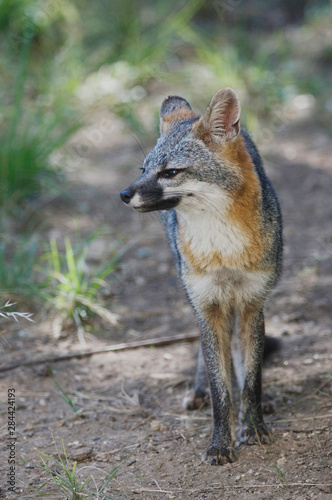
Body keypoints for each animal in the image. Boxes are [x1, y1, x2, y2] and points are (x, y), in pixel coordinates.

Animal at [120, 87, 282, 464]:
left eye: (170, 172)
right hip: (197, 297)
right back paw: (198, 389)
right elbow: (219, 386)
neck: (224, 250)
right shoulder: (207, 304)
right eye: (144, 170)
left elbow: (251, 378)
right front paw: (221, 442)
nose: (124, 194)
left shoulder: (253, 303)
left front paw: (254, 427)